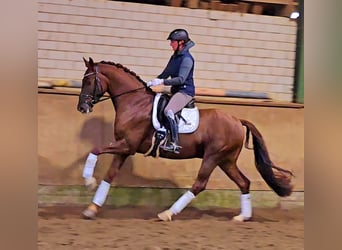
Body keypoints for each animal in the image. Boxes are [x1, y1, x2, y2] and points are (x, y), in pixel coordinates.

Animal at [76, 57, 292, 222]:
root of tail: (238, 120)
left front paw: (88, 182)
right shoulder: (123, 149)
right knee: (243, 182)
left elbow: (95, 150)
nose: (82, 108)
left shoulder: (127, 145)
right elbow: (109, 176)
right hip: (226, 160)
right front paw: (91, 209)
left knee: (200, 184)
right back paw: (242, 217)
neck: (134, 104)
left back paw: (167, 213)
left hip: (213, 157)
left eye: (89, 82)